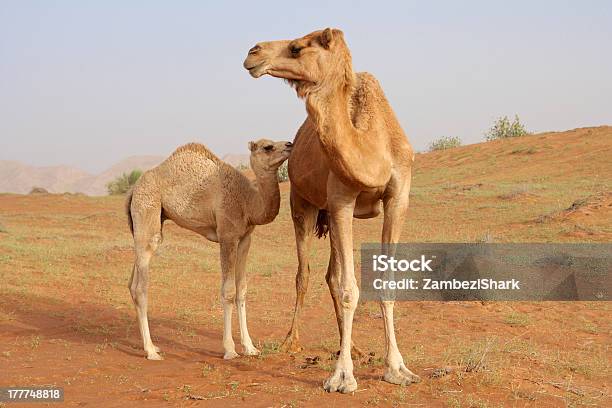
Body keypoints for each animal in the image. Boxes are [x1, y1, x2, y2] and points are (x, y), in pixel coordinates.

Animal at [124, 139, 292, 358]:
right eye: (268, 147)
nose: (290, 144)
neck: (249, 201)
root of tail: (133, 189)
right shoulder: (227, 235)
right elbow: (228, 292)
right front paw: (230, 350)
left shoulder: (245, 239)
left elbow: (242, 290)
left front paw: (250, 347)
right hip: (147, 209)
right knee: (141, 285)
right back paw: (151, 351)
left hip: (149, 222)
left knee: (132, 281)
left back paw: (152, 346)